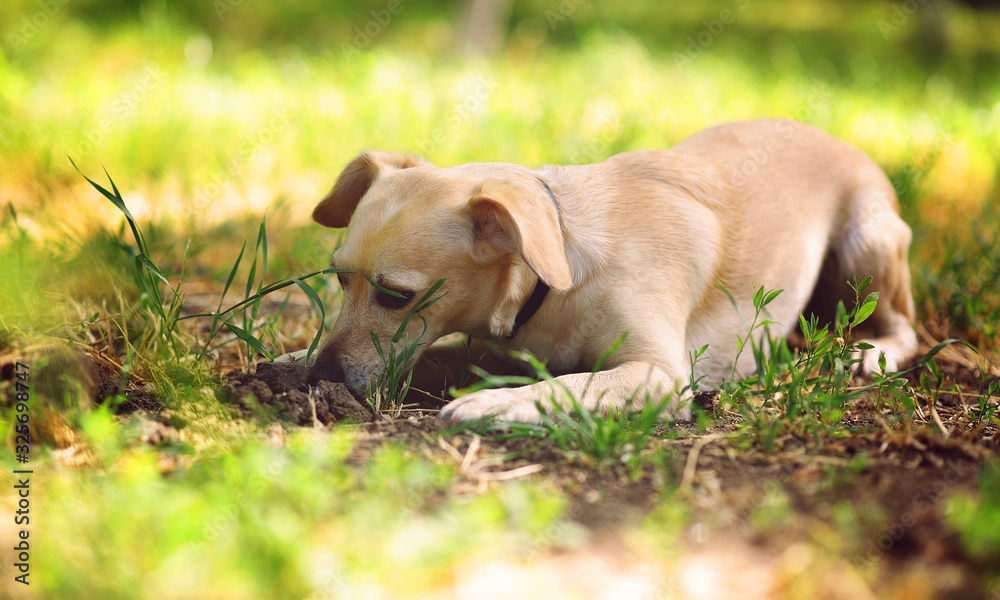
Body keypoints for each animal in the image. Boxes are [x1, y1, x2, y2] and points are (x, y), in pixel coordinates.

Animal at [308, 119, 916, 424]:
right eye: (339, 280)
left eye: (395, 295)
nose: (321, 377)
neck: (559, 277)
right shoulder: (490, 350)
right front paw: (293, 359)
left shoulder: (661, 374)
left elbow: (571, 384)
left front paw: (494, 403)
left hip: (868, 242)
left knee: (904, 326)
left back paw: (869, 354)